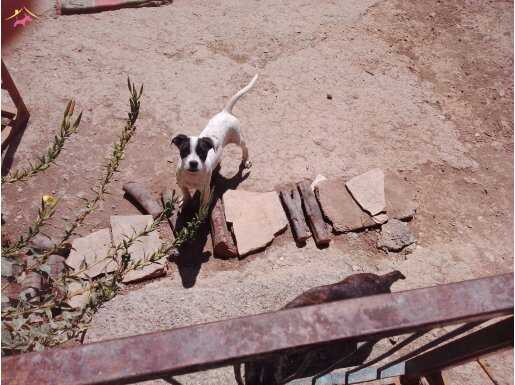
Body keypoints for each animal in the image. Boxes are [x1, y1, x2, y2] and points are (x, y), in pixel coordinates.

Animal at [172, 74, 256, 207]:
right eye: (184, 150)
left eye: (202, 152)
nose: (193, 163)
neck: (192, 175)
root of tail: (226, 112)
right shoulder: (181, 183)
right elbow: (185, 192)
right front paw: (185, 200)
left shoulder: (205, 189)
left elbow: (203, 204)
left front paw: (201, 211)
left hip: (237, 137)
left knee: (245, 147)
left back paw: (246, 160)